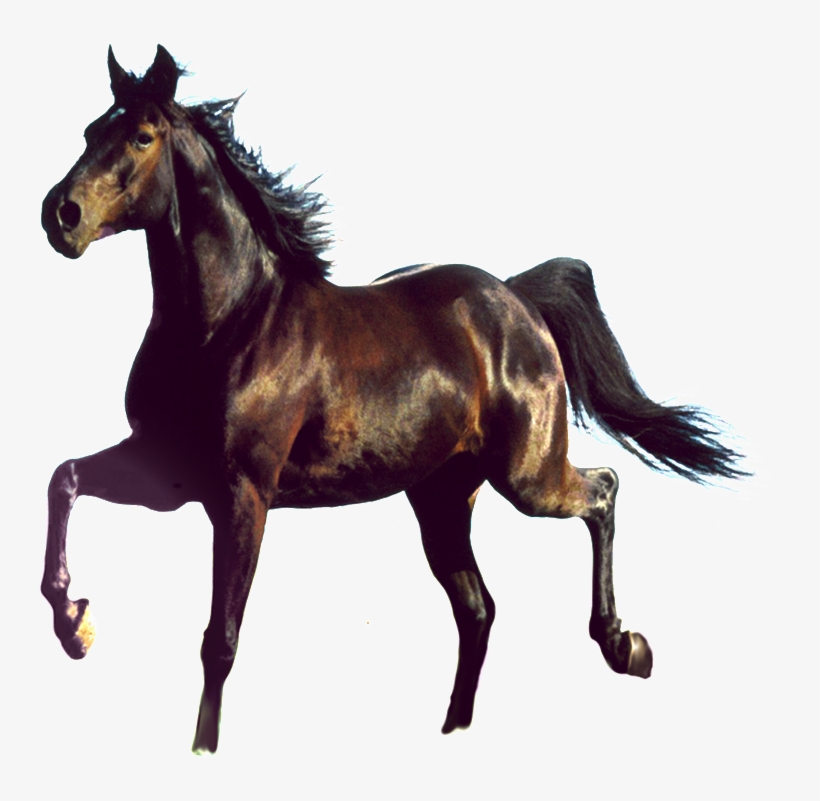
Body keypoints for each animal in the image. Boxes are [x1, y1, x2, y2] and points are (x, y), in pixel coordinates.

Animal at [41, 45, 746, 754]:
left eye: (141, 136)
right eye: (89, 131)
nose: (60, 216)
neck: (232, 321)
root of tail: (516, 298)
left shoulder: (242, 493)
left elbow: (221, 643)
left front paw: (197, 742)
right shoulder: (168, 475)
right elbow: (64, 479)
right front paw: (76, 625)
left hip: (528, 478)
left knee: (602, 491)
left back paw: (625, 645)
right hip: (441, 497)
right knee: (479, 609)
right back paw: (456, 727)